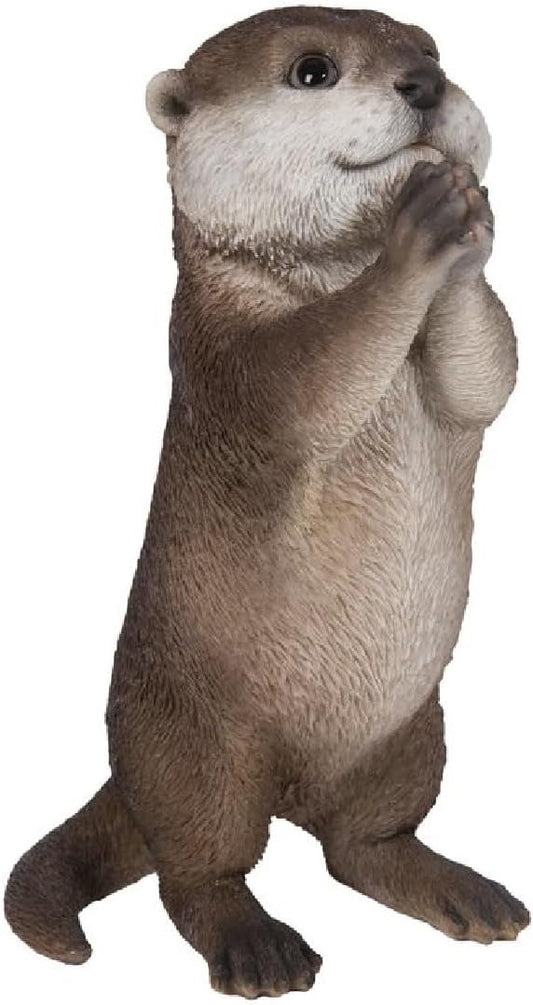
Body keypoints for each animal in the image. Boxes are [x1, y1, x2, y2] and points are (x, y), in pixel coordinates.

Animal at [5, 5, 529, 999]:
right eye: (312, 70)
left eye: (430, 46)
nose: (424, 83)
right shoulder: (224, 354)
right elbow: (311, 377)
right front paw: (422, 227)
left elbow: (486, 374)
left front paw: (470, 207)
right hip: (196, 743)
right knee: (196, 865)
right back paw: (257, 946)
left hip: (412, 735)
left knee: (360, 844)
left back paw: (463, 894)